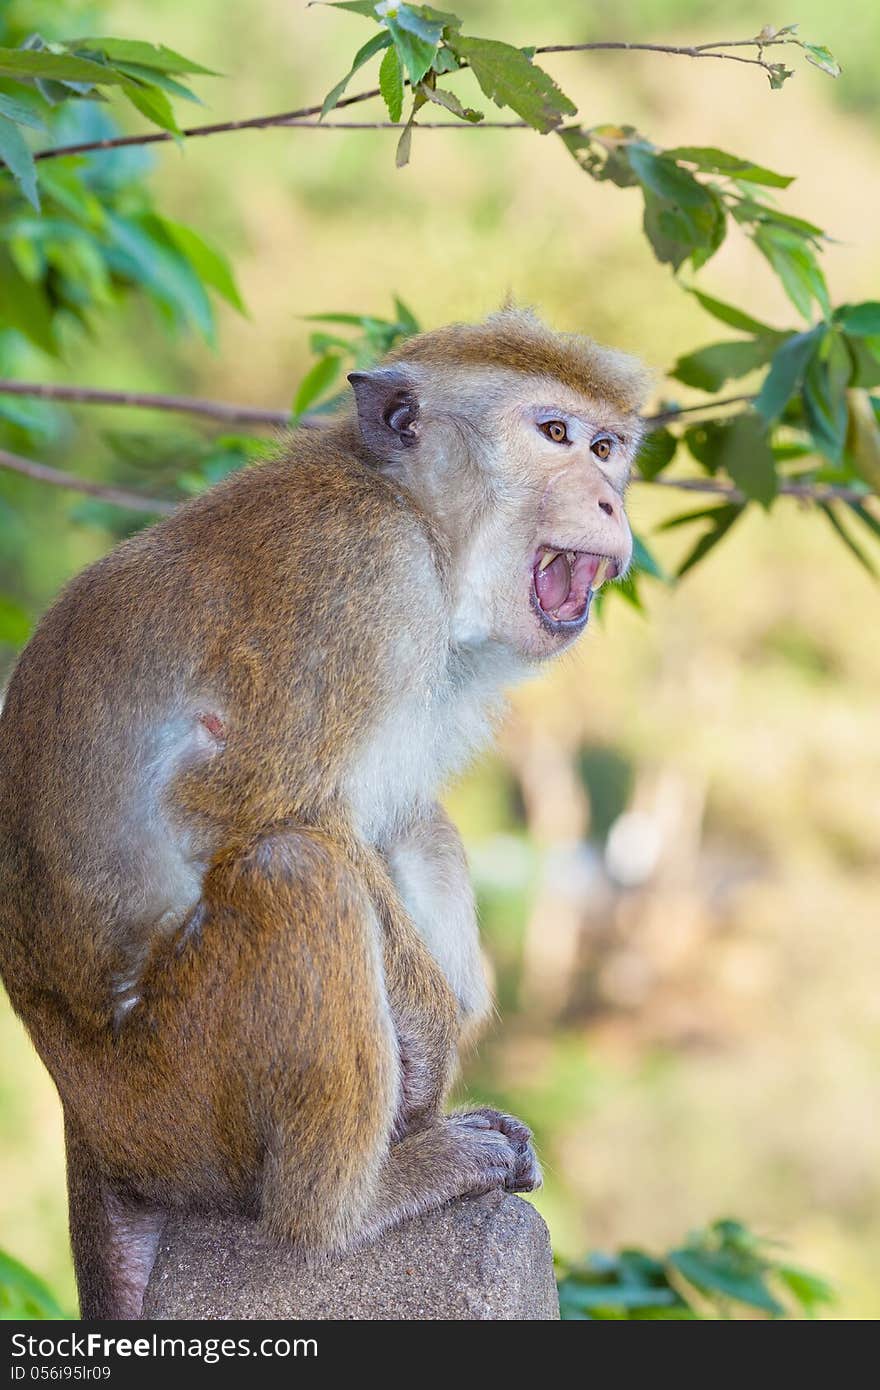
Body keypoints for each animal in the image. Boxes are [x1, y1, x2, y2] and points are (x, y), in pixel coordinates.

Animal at [0, 309, 645, 1317]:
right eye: (555, 434)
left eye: (608, 449)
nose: (613, 506)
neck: (419, 519)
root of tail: (84, 1117)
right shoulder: (362, 575)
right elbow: (238, 804)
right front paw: (430, 1042)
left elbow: (391, 820)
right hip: (169, 1107)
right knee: (298, 872)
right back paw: (353, 1205)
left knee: (408, 829)